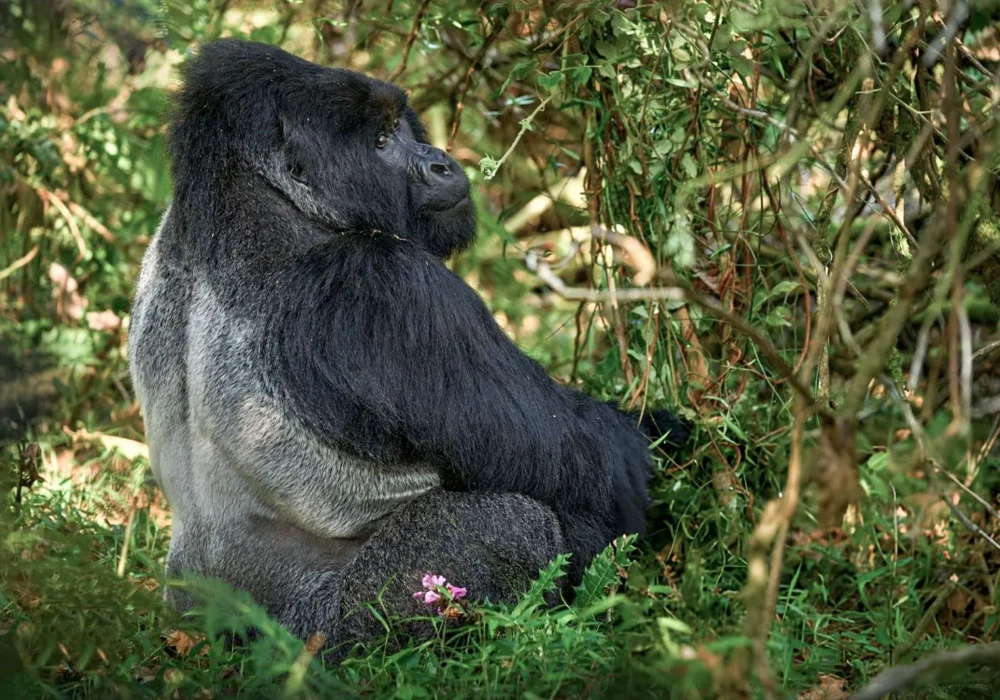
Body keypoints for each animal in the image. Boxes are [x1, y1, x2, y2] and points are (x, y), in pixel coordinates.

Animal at [128, 39, 687, 656]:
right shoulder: (389, 286)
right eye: (379, 142)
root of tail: (198, 631)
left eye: (398, 125)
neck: (252, 201)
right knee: (512, 526)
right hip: (323, 633)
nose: (439, 158)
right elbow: (592, 459)